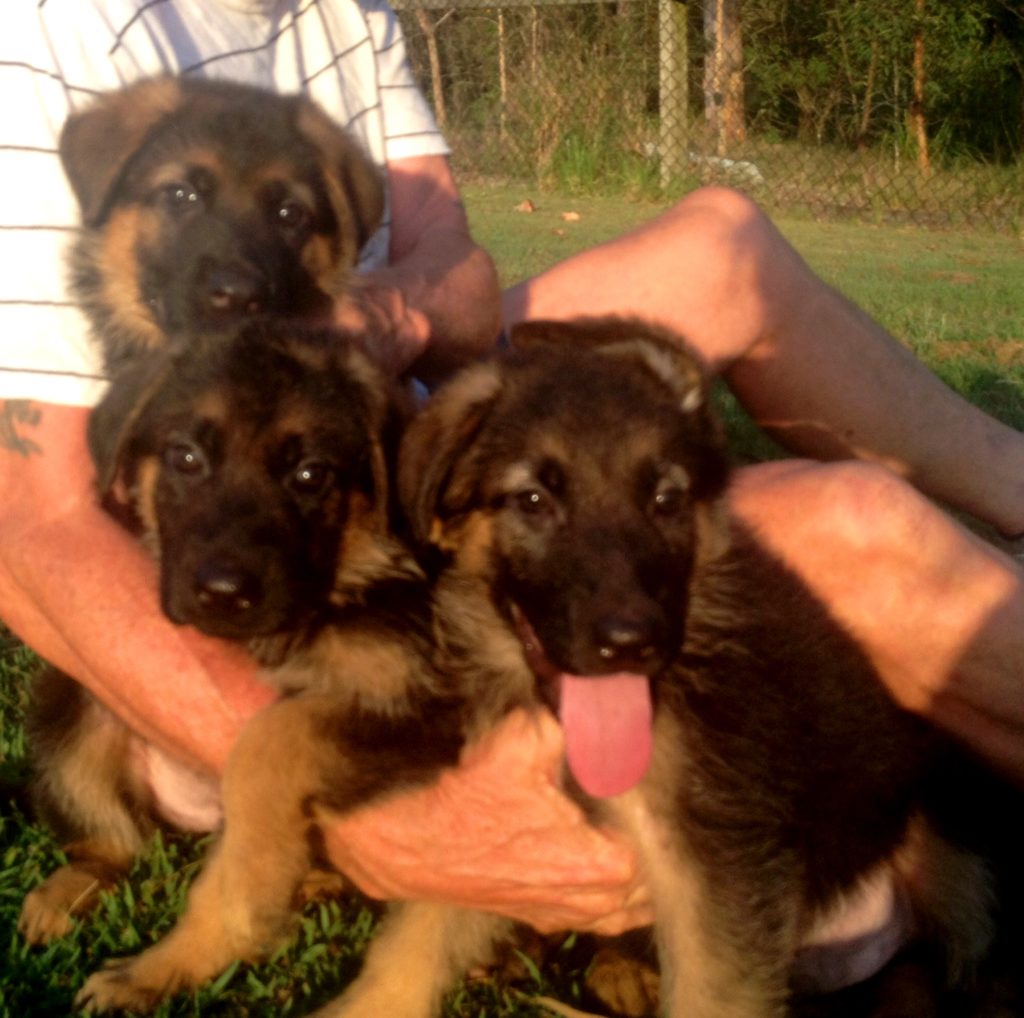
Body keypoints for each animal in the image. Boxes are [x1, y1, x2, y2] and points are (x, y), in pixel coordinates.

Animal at [18, 319, 415, 946]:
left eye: (310, 474)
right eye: (185, 457)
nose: (225, 593)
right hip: (73, 717)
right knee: (110, 843)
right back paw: (64, 892)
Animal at [70, 317, 991, 1015]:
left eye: (665, 501)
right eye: (186, 459)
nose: (629, 643)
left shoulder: (711, 862)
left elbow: (267, 748)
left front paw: (234, 911)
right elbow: (414, 940)